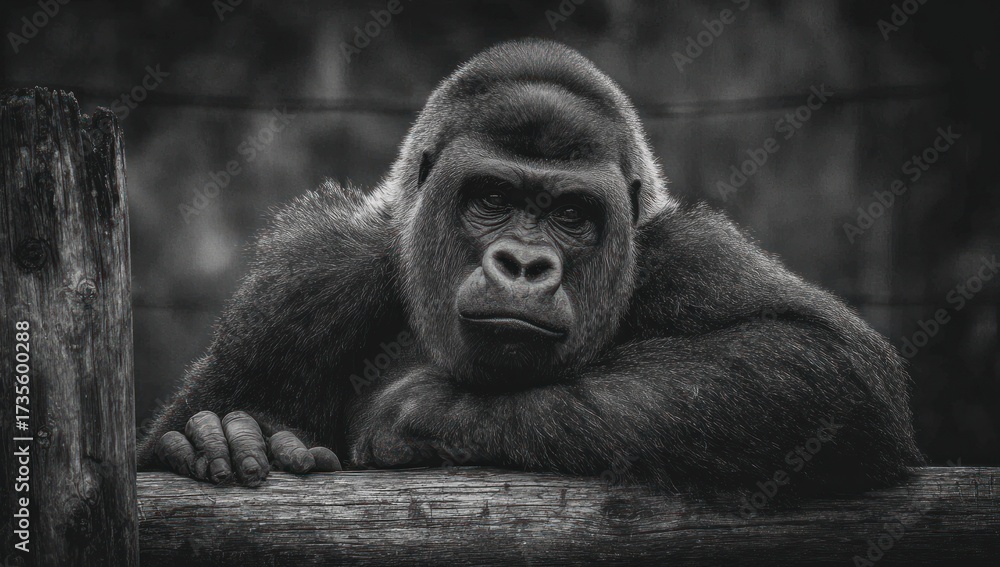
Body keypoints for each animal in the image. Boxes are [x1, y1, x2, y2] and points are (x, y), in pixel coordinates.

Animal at [138, 39, 922, 492]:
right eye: (492, 197)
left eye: (572, 214)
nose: (522, 264)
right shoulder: (305, 284)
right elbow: (160, 452)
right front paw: (220, 438)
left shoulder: (686, 256)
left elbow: (826, 365)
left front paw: (423, 408)